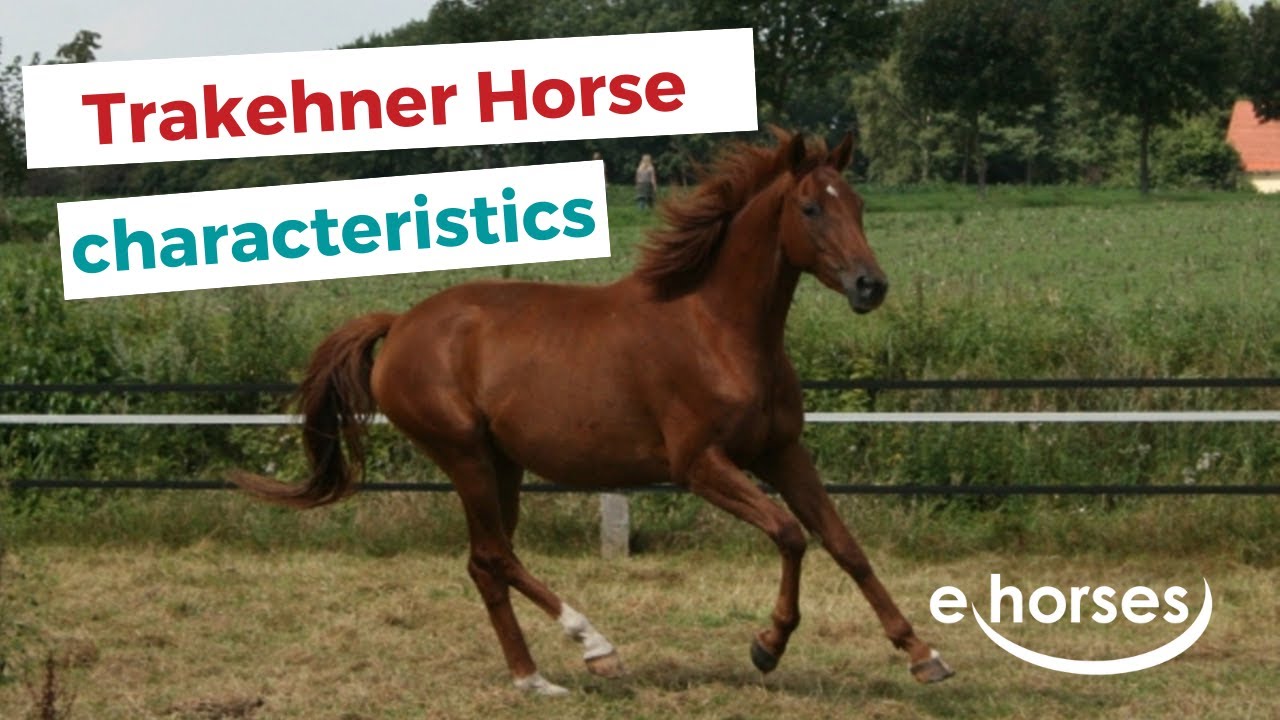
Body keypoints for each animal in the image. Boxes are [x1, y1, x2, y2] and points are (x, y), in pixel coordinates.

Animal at [232, 130, 954, 695]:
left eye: (857, 204)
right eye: (809, 207)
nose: (870, 285)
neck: (718, 329)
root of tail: (402, 323)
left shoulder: (782, 451)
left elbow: (845, 545)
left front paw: (923, 656)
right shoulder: (701, 466)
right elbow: (790, 534)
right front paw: (767, 647)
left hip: (501, 465)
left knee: (486, 562)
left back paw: (533, 678)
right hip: (466, 456)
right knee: (496, 555)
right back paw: (595, 646)